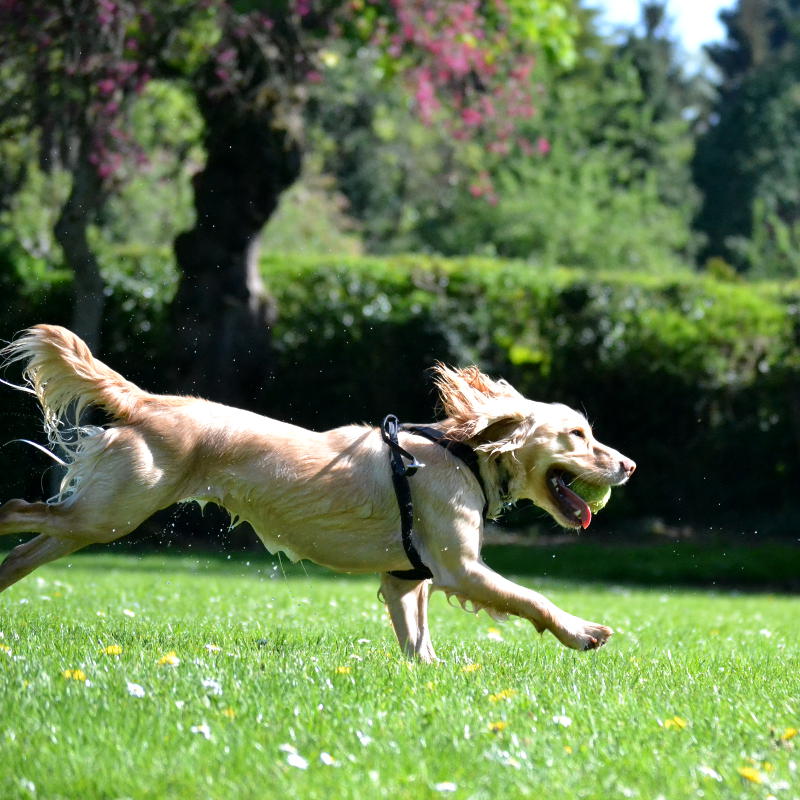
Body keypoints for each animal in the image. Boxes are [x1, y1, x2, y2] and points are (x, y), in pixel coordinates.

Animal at [1, 322, 636, 660]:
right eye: (578, 434)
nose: (629, 465)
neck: (464, 453)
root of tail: (148, 401)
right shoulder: (462, 570)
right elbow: (533, 599)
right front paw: (584, 632)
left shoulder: (406, 577)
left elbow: (418, 640)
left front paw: (431, 672)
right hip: (111, 512)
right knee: (14, 508)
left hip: (94, 517)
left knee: (24, 547)